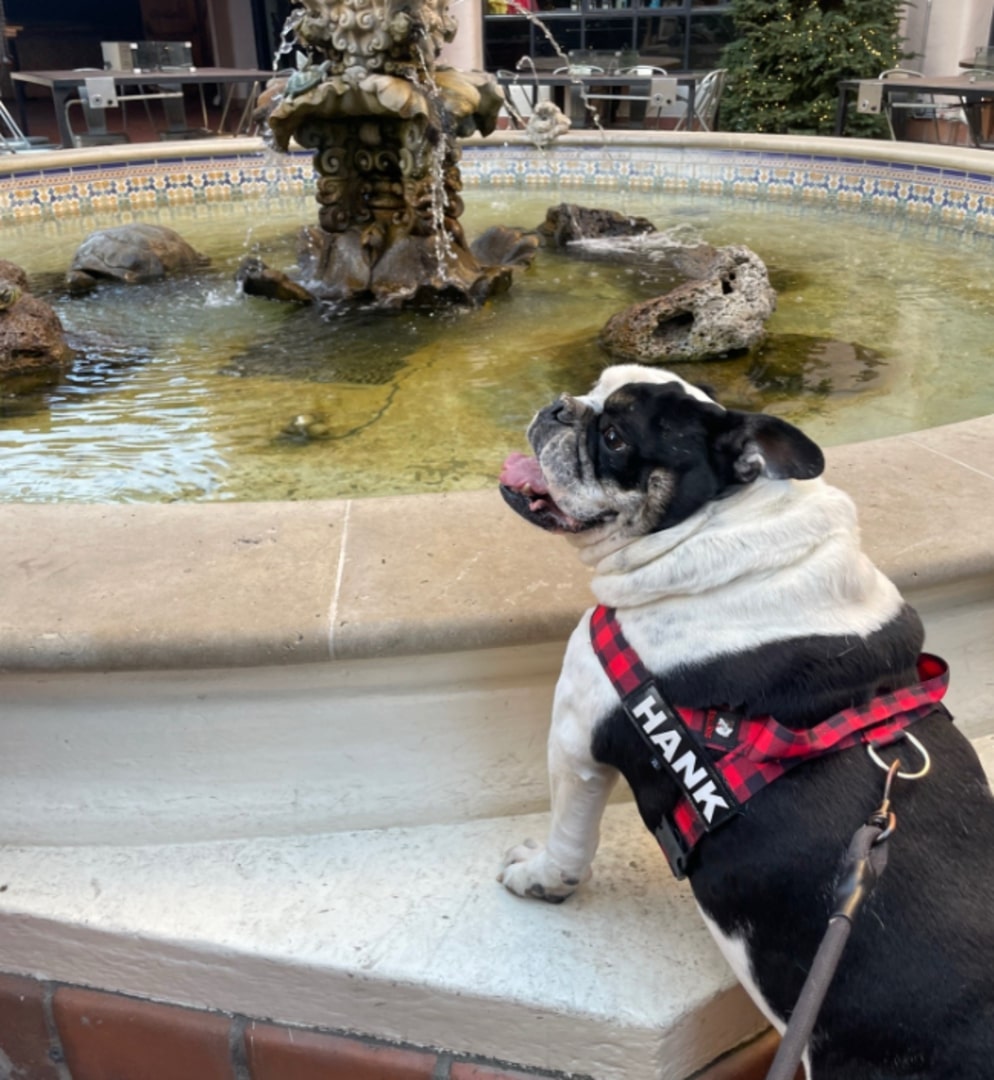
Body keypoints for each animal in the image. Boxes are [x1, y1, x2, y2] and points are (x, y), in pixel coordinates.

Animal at [501, 365, 994, 1080]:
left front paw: (537, 879)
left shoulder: (574, 735)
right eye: (593, 385)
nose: (562, 408)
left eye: (615, 436)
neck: (718, 520)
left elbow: (568, 841)